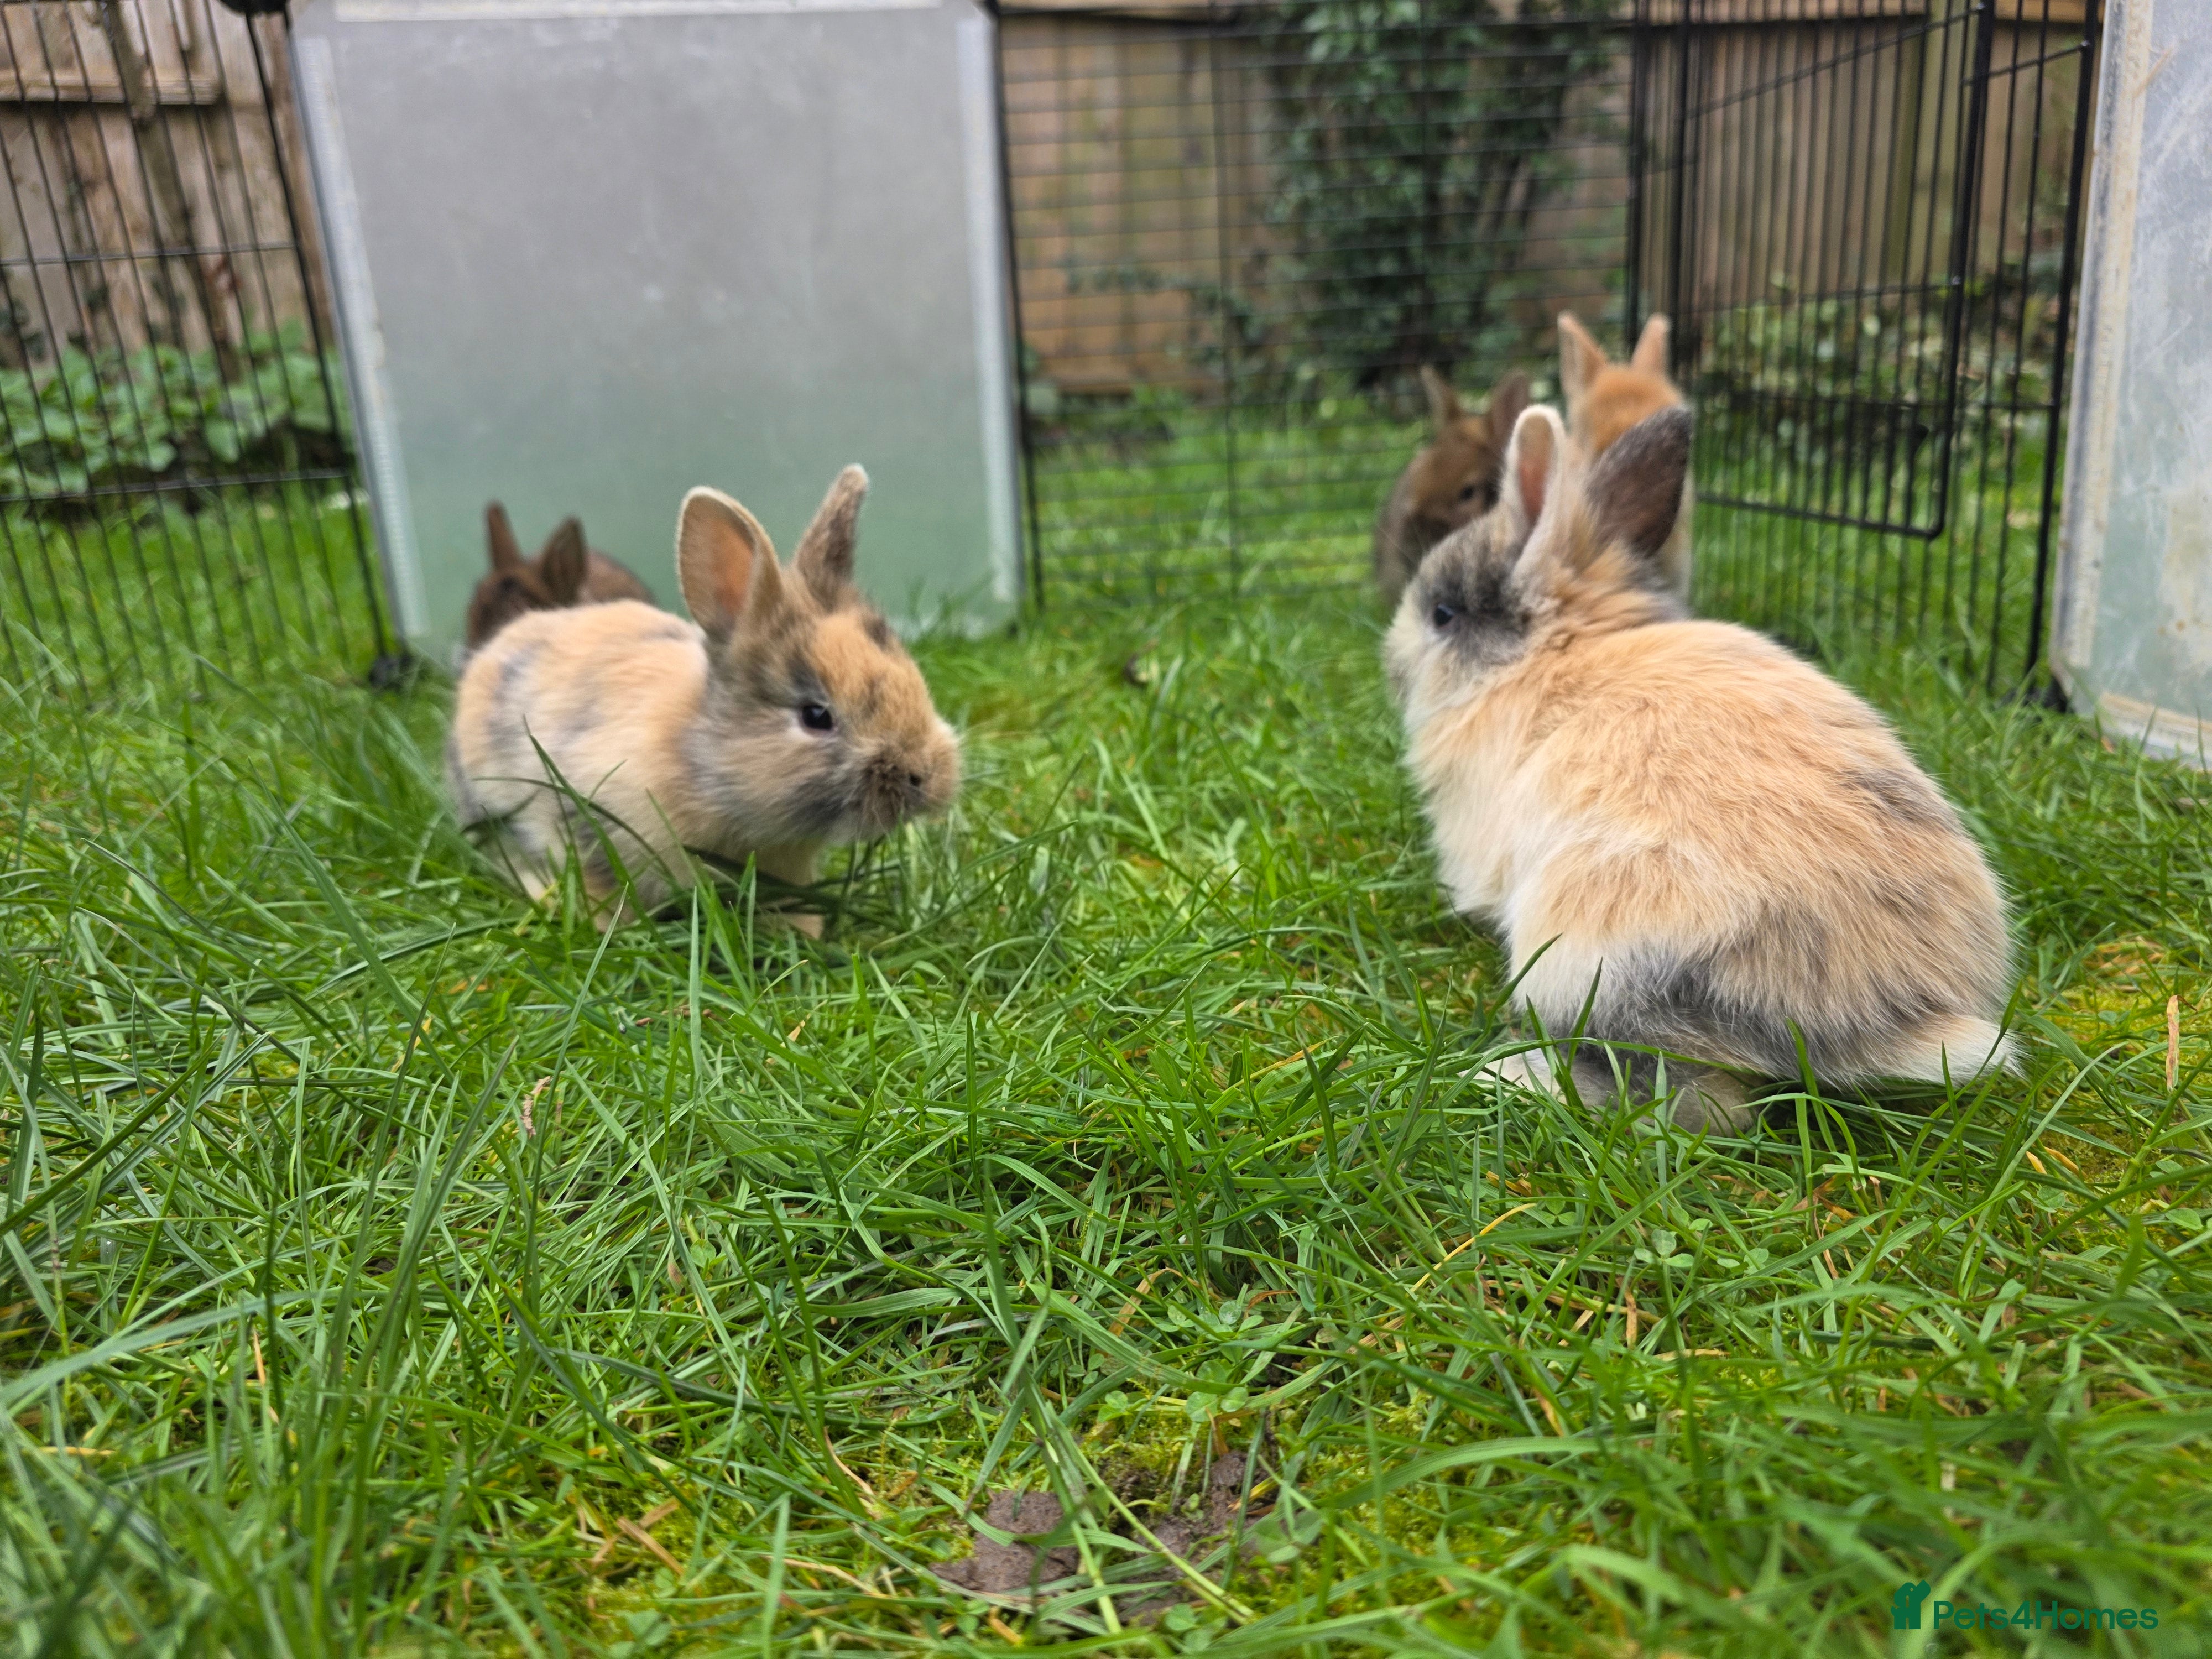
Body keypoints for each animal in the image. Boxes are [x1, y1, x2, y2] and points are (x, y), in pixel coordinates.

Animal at [1384, 403, 2015, 1133]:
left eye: (1442, 614)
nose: (1392, 660)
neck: (1553, 654)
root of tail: (1881, 1020)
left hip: (1587, 958)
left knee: (1694, 1102)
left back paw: (1505, 1075)